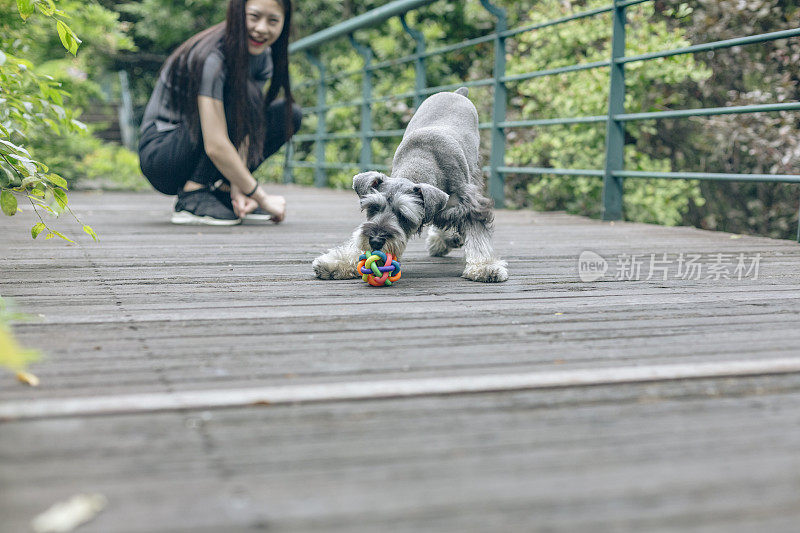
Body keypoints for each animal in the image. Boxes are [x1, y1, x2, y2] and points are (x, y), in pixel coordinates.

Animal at [310, 88, 506, 282]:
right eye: (373, 208)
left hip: (473, 172)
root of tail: (457, 92)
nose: (375, 241)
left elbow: (477, 234)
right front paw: (338, 263)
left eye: (403, 214)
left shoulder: (470, 205)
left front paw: (484, 267)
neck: (421, 161)